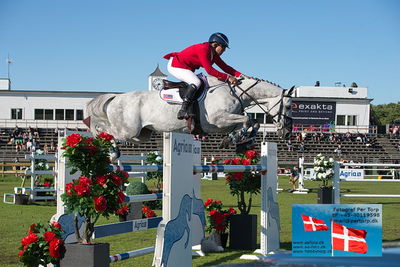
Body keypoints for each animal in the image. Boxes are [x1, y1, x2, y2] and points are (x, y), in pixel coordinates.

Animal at [84, 76, 294, 149]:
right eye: (290, 106)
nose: (287, 133)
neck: (236, 93)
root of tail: (116, 97)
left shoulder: (225, 123)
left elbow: (252, 122)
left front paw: (235, 139)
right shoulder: (218, 121)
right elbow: (247, 120)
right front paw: (234, 138)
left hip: (141, 134)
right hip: (127, 130)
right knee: (104, 130)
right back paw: (110, 151)